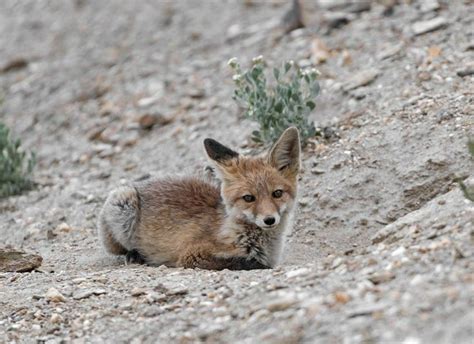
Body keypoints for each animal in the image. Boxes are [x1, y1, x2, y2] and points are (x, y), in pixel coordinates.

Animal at [98, 127, 302, 270]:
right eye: (248, 198)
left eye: (277, 193)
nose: (269, 220)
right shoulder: (191, 255)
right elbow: (243, 263)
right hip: (123, 204)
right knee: (119, 250)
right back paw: (135, 255)